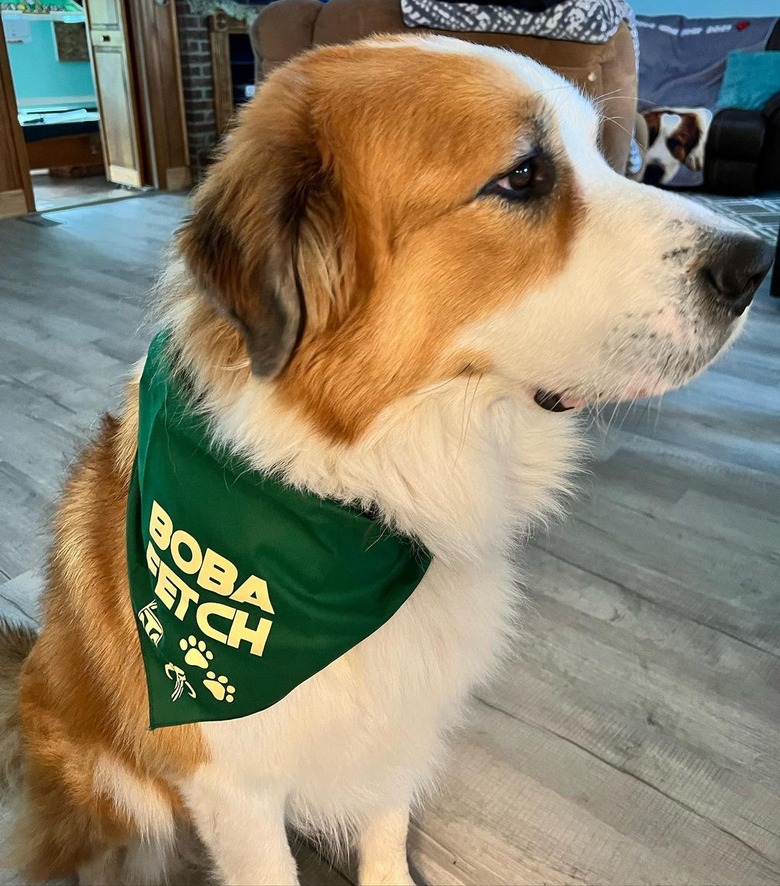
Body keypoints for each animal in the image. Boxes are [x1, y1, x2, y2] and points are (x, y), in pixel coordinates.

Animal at [0, 34, 772, 886]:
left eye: (601, 156)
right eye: (523, 176)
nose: (756, 264)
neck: (363, 495)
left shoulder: (402, 731)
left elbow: (385, 832)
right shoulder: (234, 790)